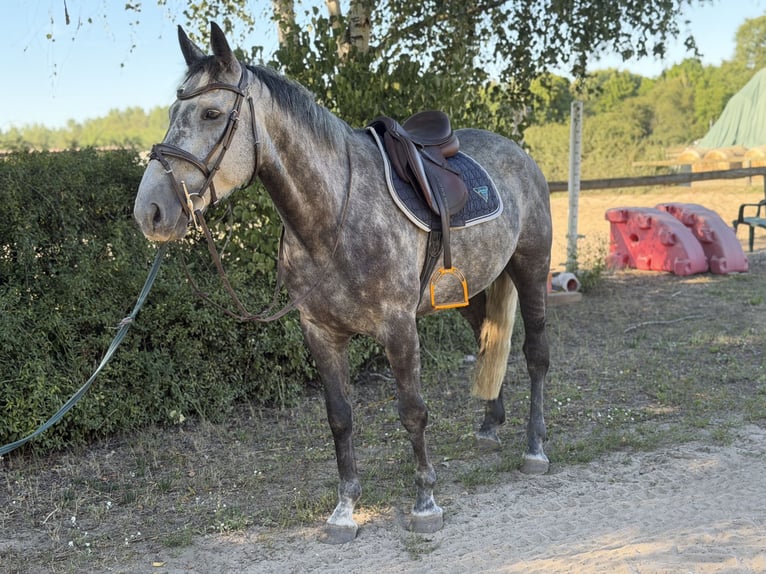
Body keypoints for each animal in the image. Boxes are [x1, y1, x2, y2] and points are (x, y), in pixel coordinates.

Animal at [133, 22, 552, 543]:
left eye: (211, 112)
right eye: (173, 113)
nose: (150, 211)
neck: (334, 212)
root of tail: (519, 153)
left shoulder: (398, 328)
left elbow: (412, 411)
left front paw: (425, 502)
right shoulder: (320, 332)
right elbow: (339, 416)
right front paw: (345, 509)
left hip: (532, 267)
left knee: (535, 356)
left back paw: (535, 447)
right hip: (471, 290)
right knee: (489, 341)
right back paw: (490, 426)